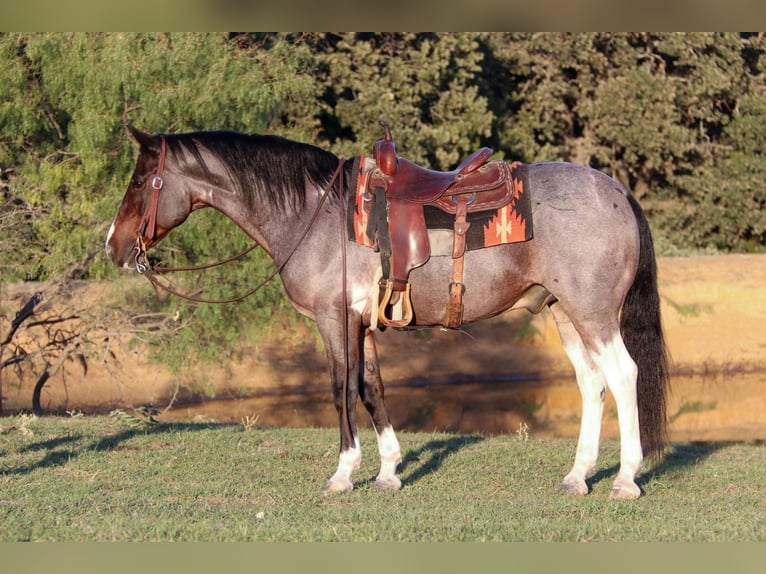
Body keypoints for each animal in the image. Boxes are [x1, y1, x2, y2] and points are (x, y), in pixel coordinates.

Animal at [105, 125, 668, 500]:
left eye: (138, 182)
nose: (113, 247)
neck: (315, 214)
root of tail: (615, 190)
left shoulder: (334, 320)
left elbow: (342, 388)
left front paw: (343, 473)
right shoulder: (364, 324)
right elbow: (372, 388)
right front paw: (389, 471)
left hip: (593, 313)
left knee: (623, 374)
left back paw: (624, 479)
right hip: (565, 313)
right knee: (592, 383)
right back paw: (578, 476)